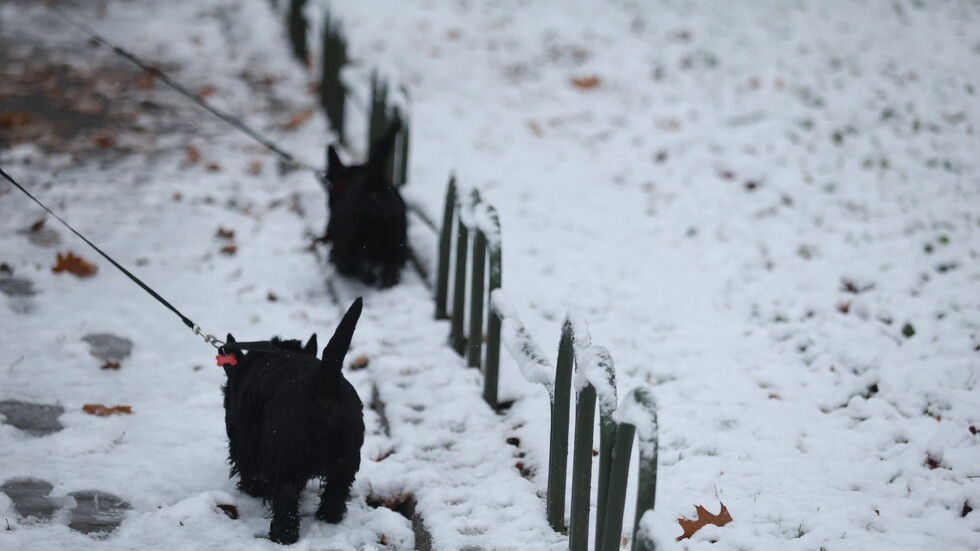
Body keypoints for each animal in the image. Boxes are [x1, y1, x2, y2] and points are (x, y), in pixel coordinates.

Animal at [220, 298, 366, 544]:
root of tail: (323, 383)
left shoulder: (242, 436)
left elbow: (245, 465)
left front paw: (253, 489)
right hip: (347, 459)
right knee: (336, 492)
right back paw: (328, 517)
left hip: (284, 459)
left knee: (286, 500)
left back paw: (282, 536)